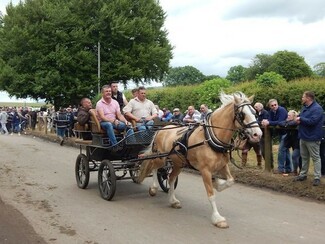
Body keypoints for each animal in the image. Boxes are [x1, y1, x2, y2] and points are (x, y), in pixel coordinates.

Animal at [136, 92, 260, 229]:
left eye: (255, 112)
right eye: (242, 114)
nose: (258, 134)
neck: (210, 137)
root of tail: (162, 128)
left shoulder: (223, 165)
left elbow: (230, 181)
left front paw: (218, 183)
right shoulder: (205, 170)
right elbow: (211, 195)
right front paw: (217, 218)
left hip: (179, 163)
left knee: (171, 178)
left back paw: (173, 201)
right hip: (161, 157)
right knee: (154, 166)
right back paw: (153, 188)